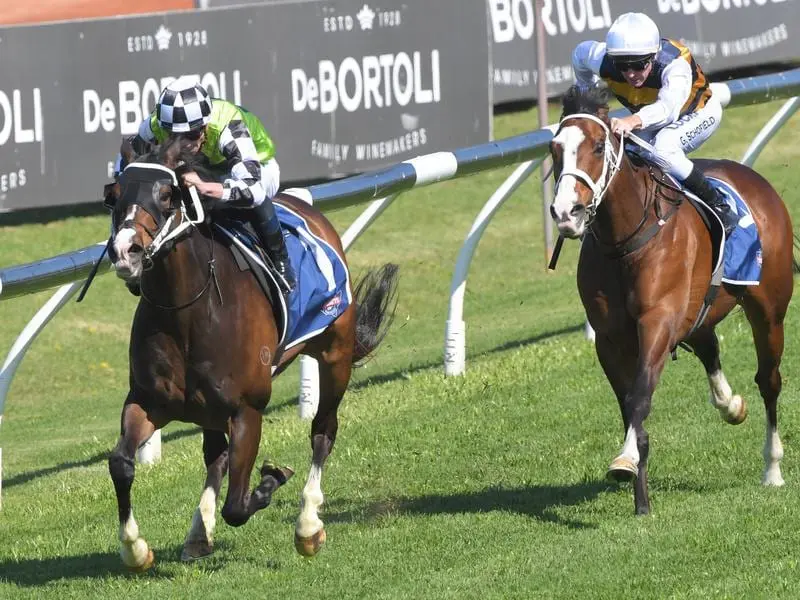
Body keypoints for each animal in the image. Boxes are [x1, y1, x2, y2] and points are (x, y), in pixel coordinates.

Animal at [104, 138, 398, 568]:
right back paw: (198, 534)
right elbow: (121, 463)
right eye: (113, 196)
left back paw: (308, 525)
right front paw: (135, 548)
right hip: (205, 407)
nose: (126, 251)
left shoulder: (248, 409)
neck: (188, 311)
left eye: (167, 194)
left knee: (323, 431)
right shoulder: (148, 400)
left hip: (335, 354)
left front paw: (273, 479)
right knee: (216, 455)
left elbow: (238, 506)